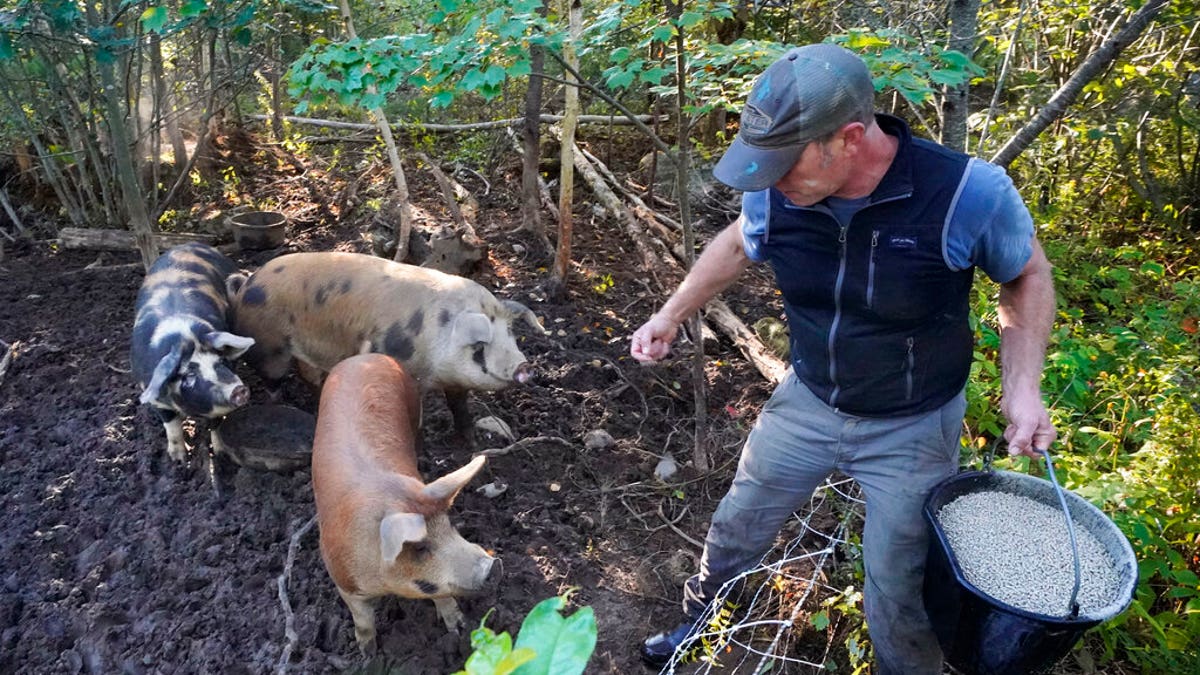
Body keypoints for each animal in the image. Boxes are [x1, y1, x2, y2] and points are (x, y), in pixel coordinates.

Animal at [129, 240, 253, 456]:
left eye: (221, 361)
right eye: (189, 376)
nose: (238, 390)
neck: (184, 337)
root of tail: (189, 243)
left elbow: (216, 425)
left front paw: (220, 454)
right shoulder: (155, 399)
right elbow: (171, 425)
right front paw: (177, 459)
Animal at [225, 249, 544, 439]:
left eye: (510, 333)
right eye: (480, 344)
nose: (524, 366)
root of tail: (247, 282)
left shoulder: (454, 381)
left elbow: (459, 408)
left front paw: (470, 442)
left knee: (309, 374)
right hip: (268, 347)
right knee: (274, 380)